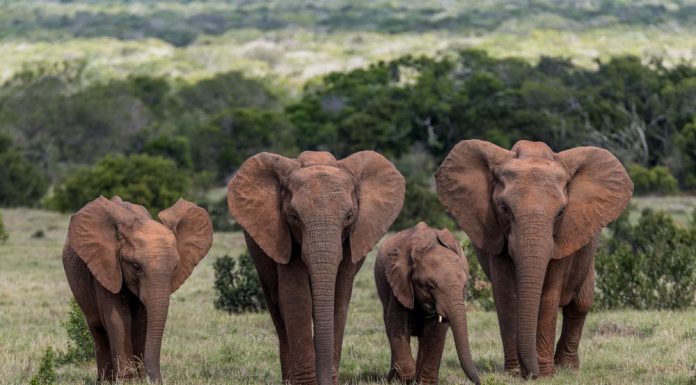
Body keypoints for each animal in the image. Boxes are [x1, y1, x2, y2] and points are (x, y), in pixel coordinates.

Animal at [63, 196, 213, 382]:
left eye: (175, 268)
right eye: (136, 267)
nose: (158, 380)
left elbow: (142, 320)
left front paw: (140, 378)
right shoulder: (106, 267)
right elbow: (119, 319)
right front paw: (128, 380)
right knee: (97, 327)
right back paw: (105, 380)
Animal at [226, 150, 406, 384]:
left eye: (349, 217)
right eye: (294, 217)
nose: (325, 379)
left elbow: (339, 296)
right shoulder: (283, 235)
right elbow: (296, 296)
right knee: (276, 304)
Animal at [376, 222, 478, 384]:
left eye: (465, 286)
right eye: (430, 286)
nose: (479, 381)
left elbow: (437, 331)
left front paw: (424, 382)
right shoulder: (399, 284)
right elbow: (396, 324)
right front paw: (404, 379)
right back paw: (392, 379)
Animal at [438, 140, 632, 376]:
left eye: (561, 212)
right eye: (504, 208)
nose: (531, 372)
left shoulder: (564, 236)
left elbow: (549, 295)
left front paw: (545, 374)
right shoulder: (496, 236)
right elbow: (506, 294)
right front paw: (514, 373)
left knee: (580, 303)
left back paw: (568, 368)